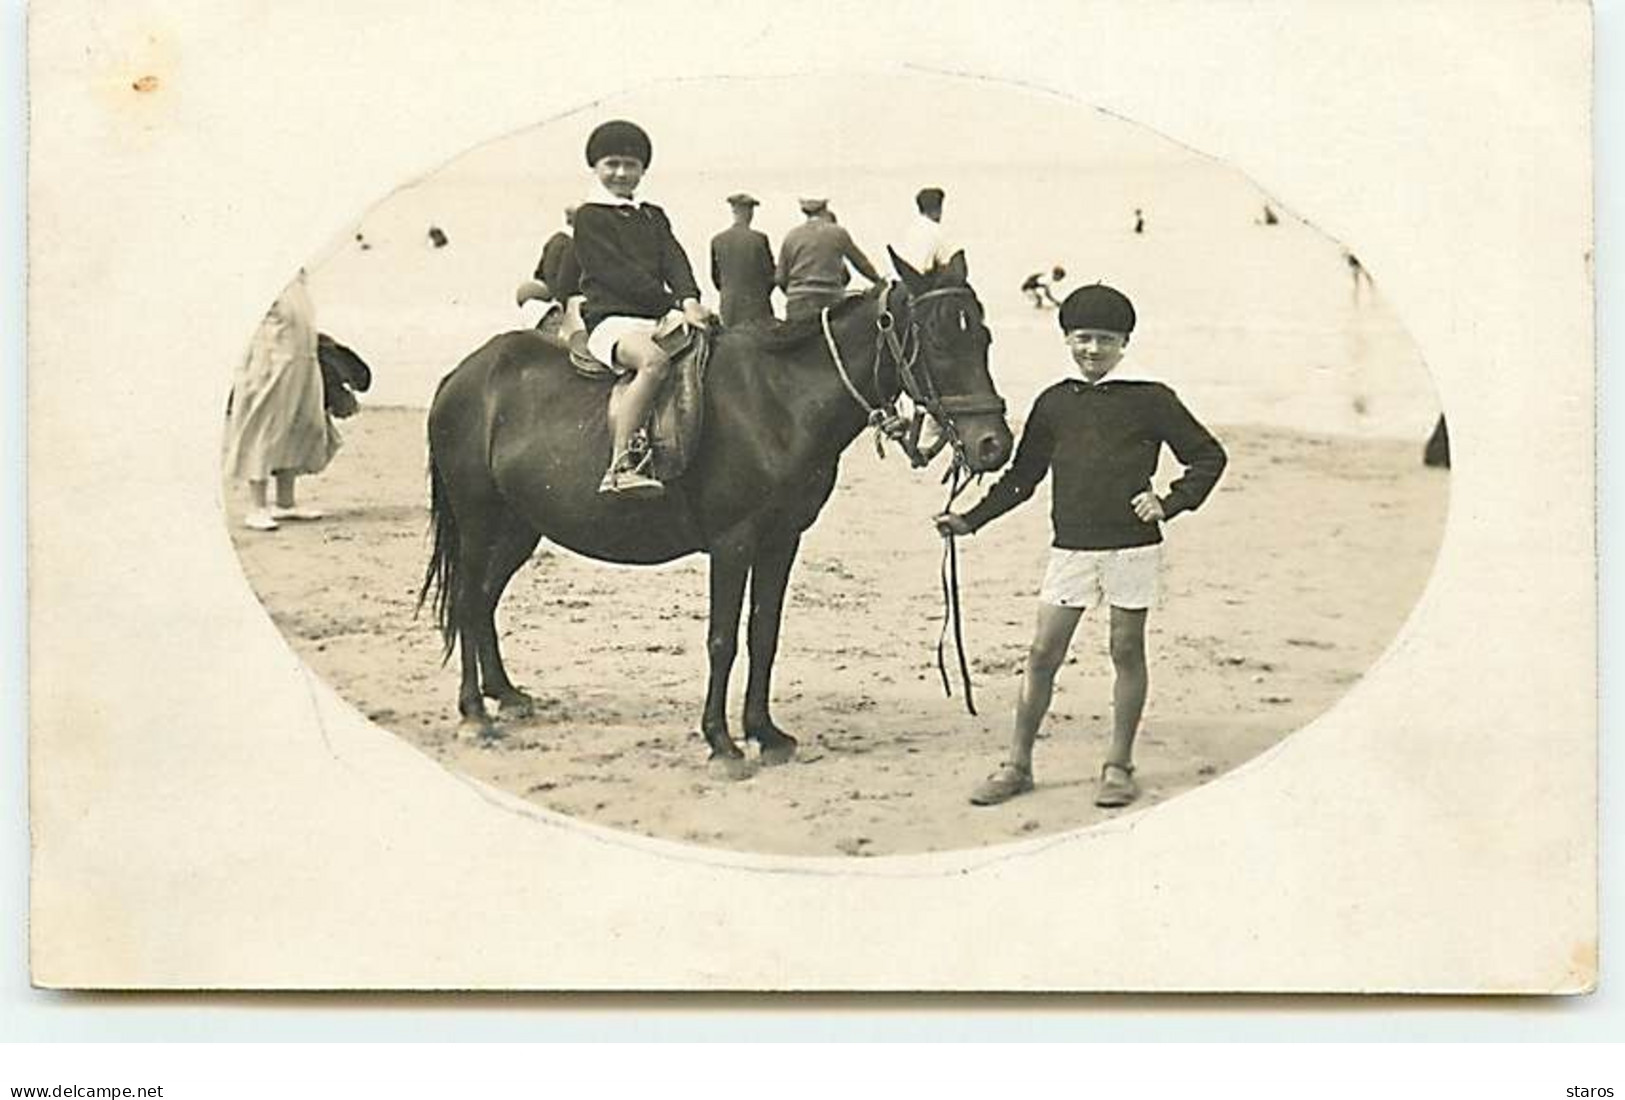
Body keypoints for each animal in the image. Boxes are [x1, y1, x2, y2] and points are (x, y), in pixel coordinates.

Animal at [412, 253, 1007, 776]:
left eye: (982, 337)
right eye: (937, 340)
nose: (994, 445)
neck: (778, 402)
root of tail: (463, 375)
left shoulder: (781, 540)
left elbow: (763, 633)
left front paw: (765, 732)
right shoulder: (733, 542)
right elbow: (722, 640)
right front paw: (721, 742)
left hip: (520, 527)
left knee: (483, 600)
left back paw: (504, 694)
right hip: (479, 520)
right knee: (467, 599)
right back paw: (474, 713)